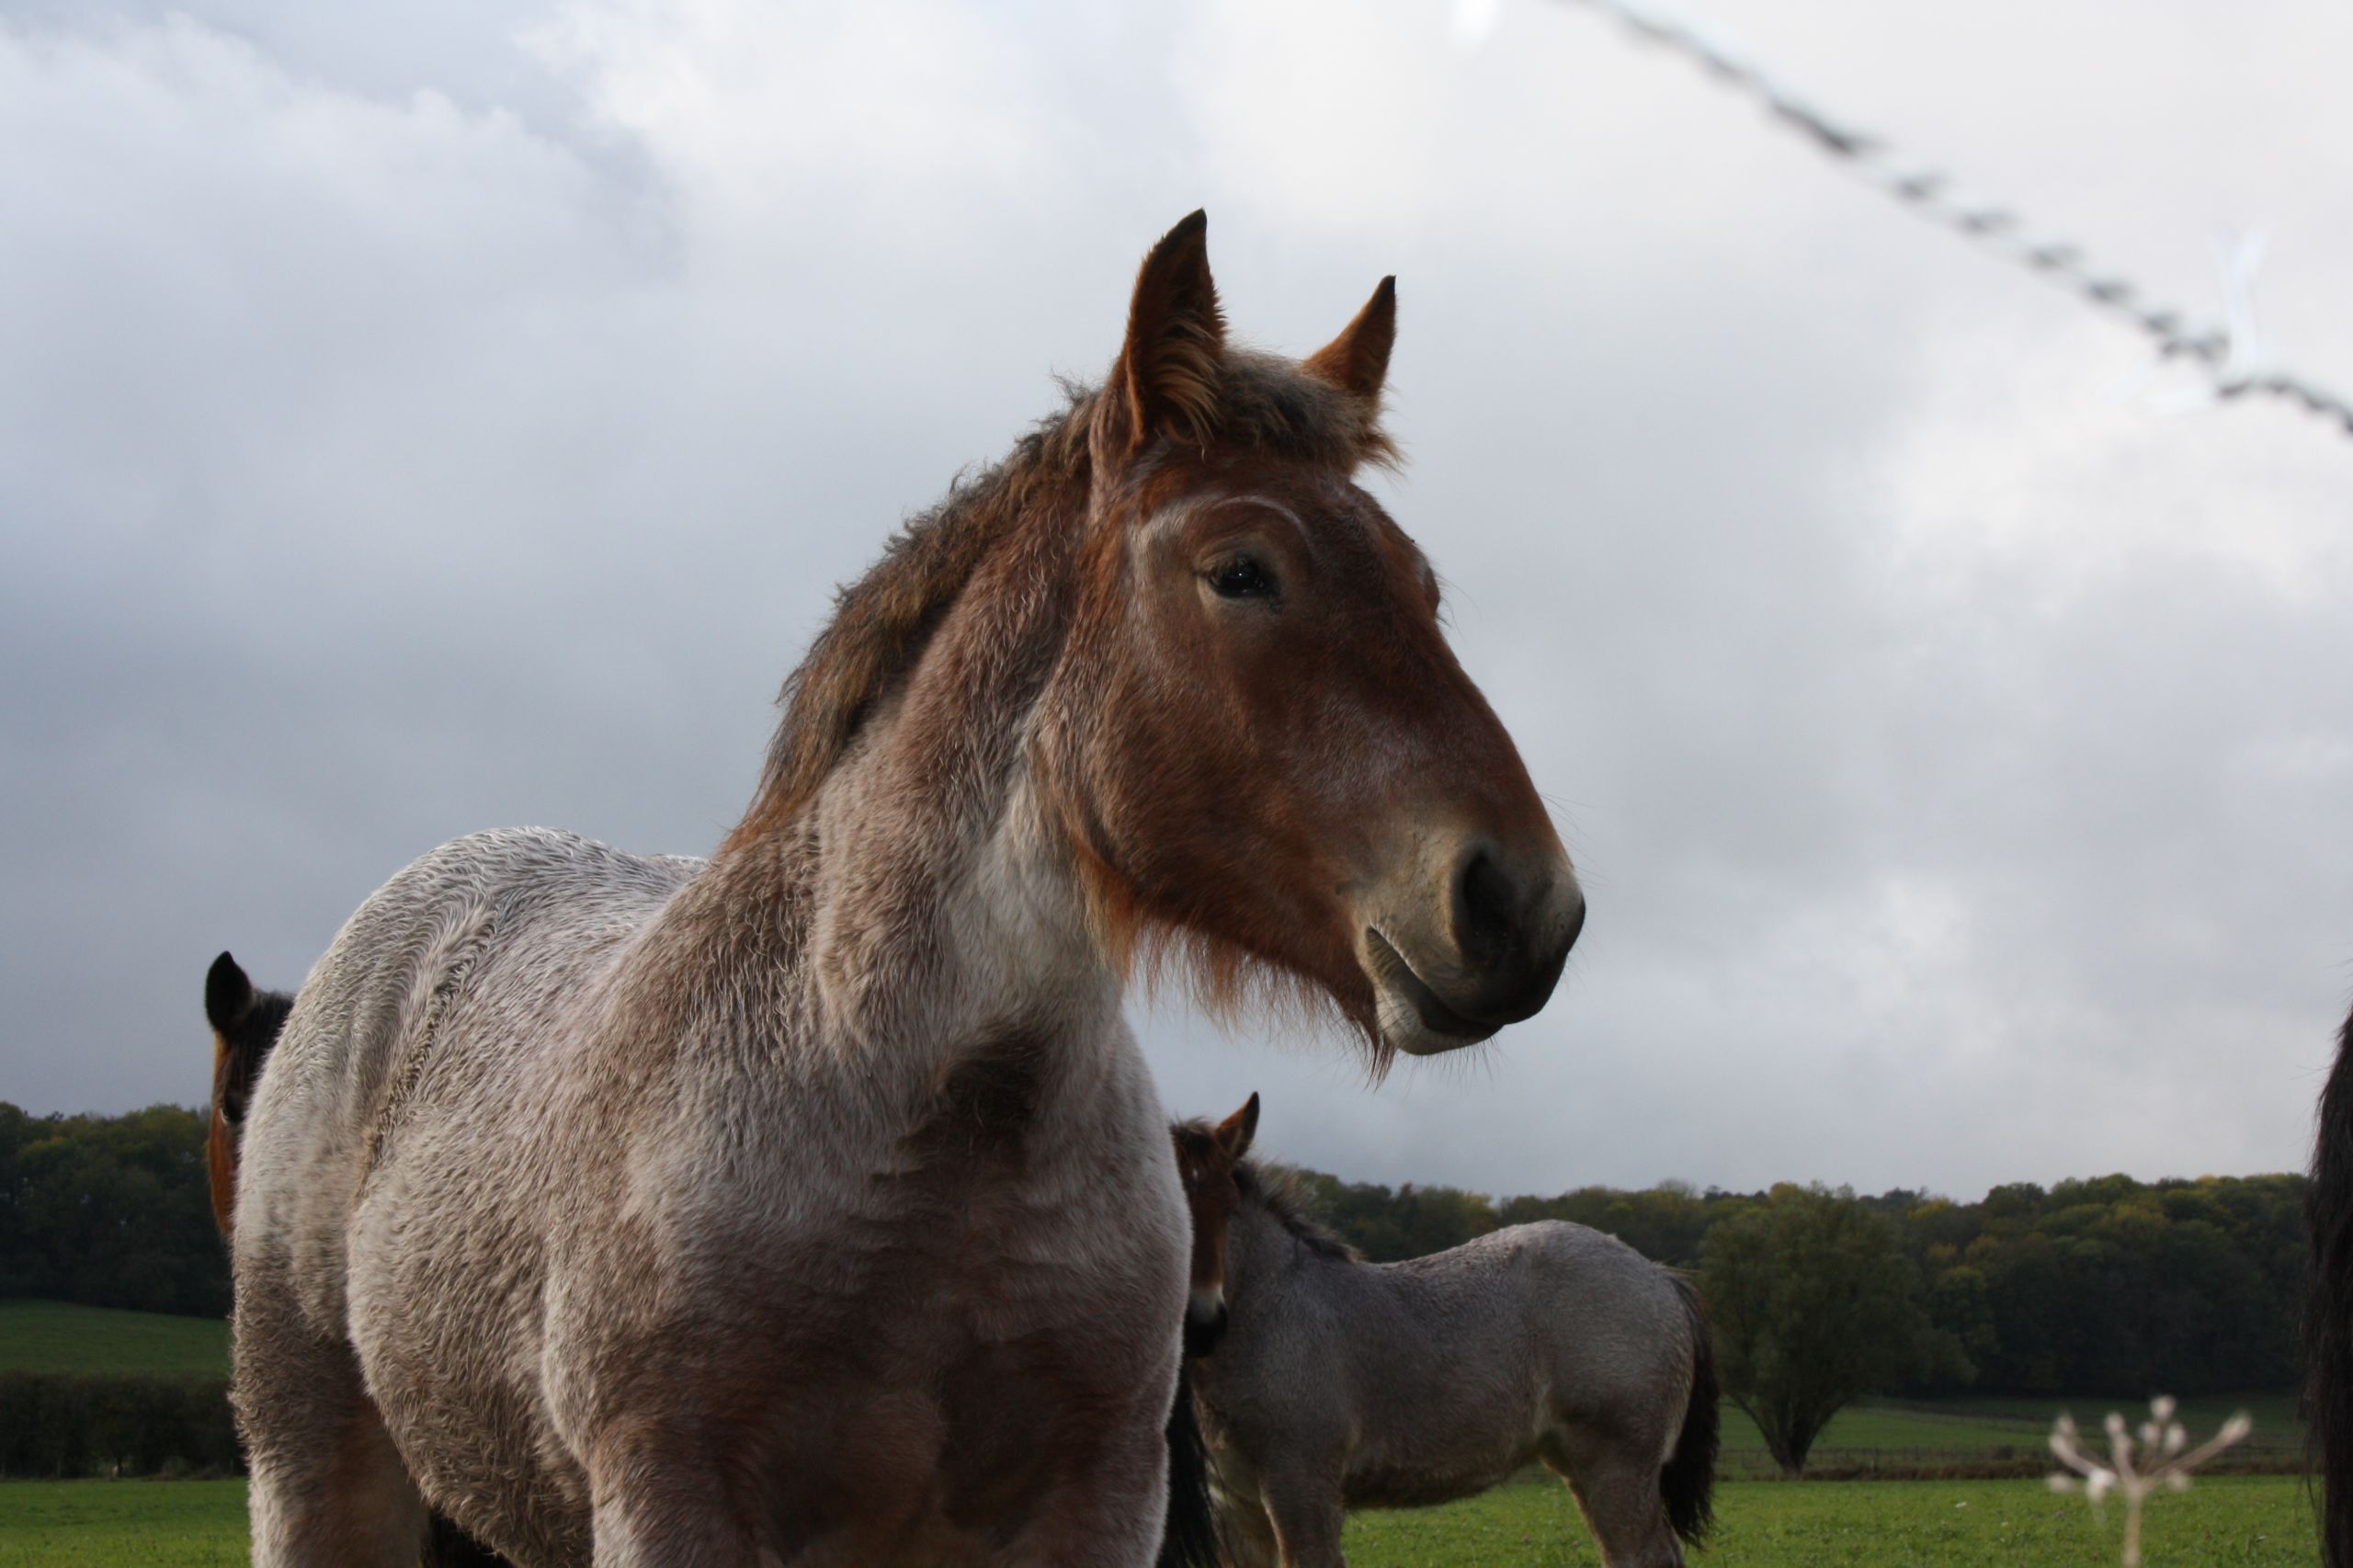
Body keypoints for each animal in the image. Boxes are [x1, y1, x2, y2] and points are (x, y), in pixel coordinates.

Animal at [229, 210, 1581, 1562]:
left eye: (1424, 586)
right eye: (1240, 571)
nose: (1521, 905)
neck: (927, 1114)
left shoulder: (1101, 1498)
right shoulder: (671, 1495)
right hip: (318, 1470)